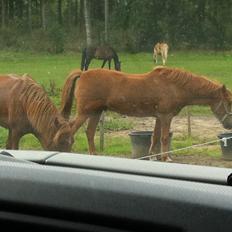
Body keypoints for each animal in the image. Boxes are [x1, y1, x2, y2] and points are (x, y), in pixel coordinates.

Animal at [59, 67, 232, 161]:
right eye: (229, 102)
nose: (229, 125)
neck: (175, 86)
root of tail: (83, 73)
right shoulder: (166, 116)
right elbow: (163, 138)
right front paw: (166, 157)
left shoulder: (159, 117)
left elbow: (155, 137)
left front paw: (153, 156)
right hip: (84, 113)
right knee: (70, 130)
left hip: (95, 112)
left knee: (89, 132)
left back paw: (93, 154)